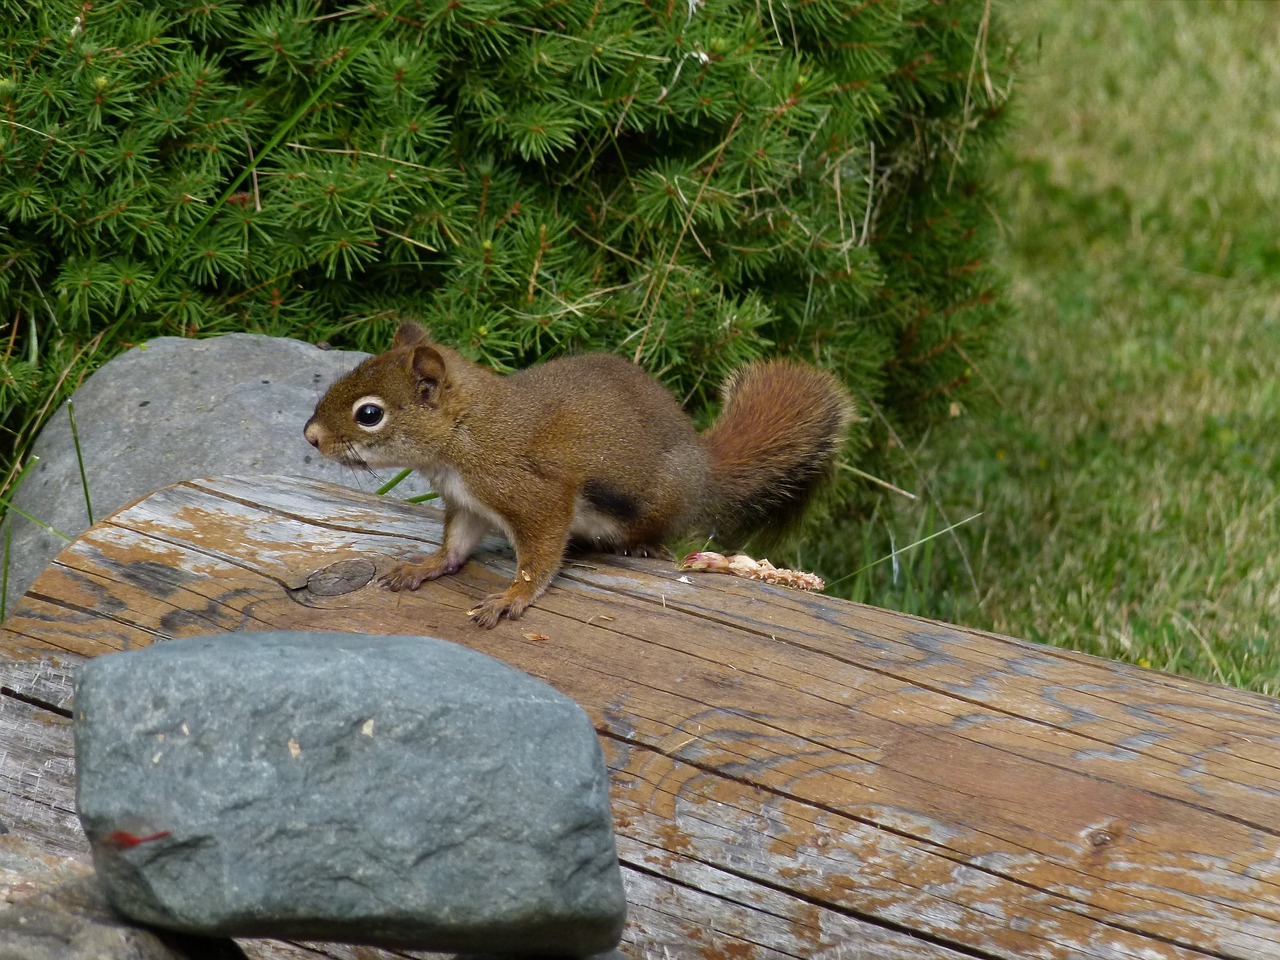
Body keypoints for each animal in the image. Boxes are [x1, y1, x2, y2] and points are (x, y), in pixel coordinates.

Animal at [304, 323, 855, 632]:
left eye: (369, 414)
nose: (310, 437)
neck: (465, 435)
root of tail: (703, 470)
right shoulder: (468, 506)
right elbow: (456, 546)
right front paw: (425, 566)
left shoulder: (534, 493)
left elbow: (540, 556)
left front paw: (512, 598)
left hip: (653, 503)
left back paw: (643, 547)